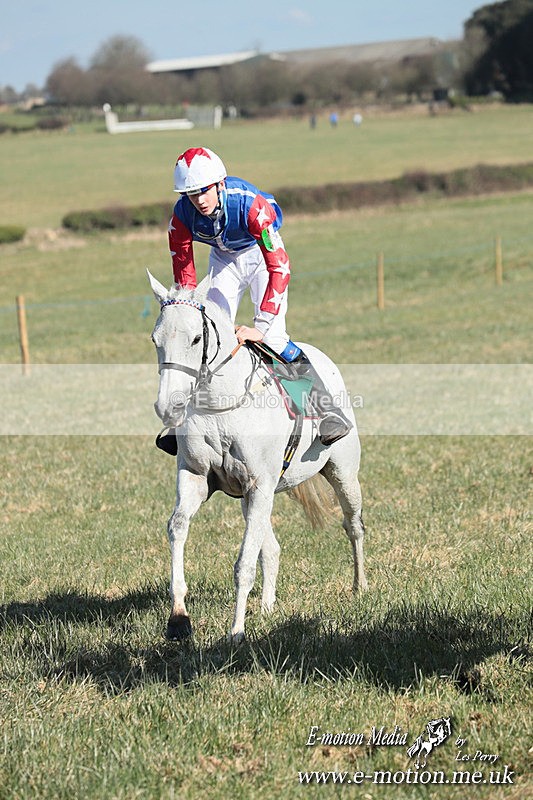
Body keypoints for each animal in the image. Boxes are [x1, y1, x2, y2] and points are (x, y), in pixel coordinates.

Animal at [147, 271, 368, 643]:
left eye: (196, 339)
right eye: (155, 340)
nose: (168, 407)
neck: (221, 405)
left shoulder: (259, 484)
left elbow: (244, 564)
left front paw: (236, 630)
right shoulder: (197, 478)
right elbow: (177, 527)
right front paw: (178, 619)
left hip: (342, 475)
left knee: (353, 525)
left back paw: (359, 585)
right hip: (251, 498)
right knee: (273, 548)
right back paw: (266, 607)